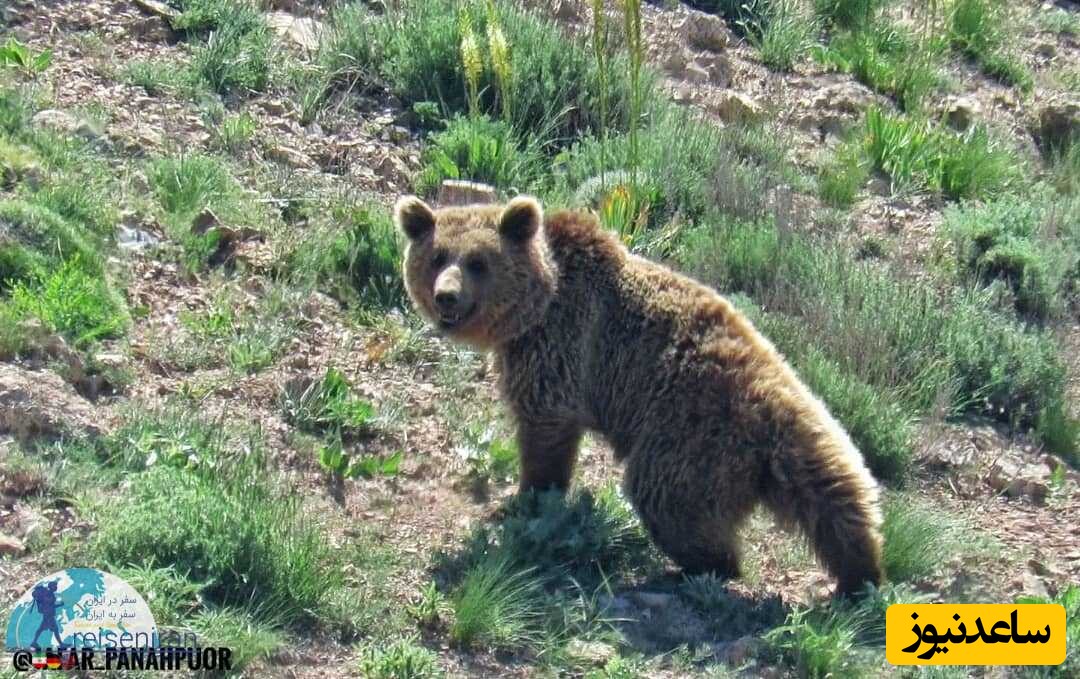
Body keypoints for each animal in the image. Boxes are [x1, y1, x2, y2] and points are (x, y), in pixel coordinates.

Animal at [397, 193, 885, 595]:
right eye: (437, 256)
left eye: (479, 262)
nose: (446, 297)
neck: (536, 308)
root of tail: (771, 407)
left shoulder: (563, 345)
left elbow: (545, 428)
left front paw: (527, 501)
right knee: (834, 494)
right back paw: (860, 571)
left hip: (692, 437)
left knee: (667, 498)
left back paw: (691, 569)